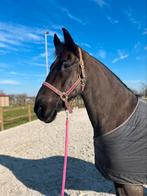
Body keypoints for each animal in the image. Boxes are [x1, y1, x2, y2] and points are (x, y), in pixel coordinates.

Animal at [34, 28, 146, 195]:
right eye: (51, 65)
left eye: (66, 63)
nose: (39, 107)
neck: (121, 118)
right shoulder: (120, 180)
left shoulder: (132, 184)